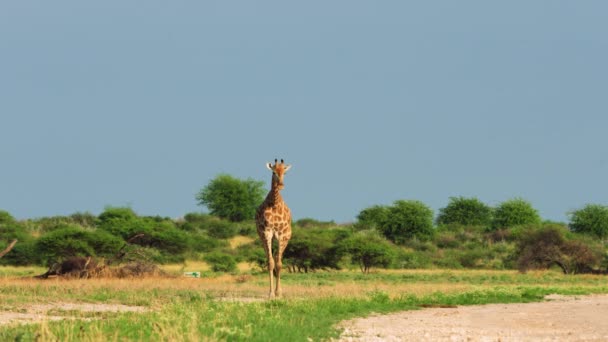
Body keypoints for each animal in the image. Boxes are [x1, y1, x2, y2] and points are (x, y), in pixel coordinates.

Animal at [256, 159, 292, 298]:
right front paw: (271, 293)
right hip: (263, 237)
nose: (281, 185)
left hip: (284, 238)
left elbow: (279, 264)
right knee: (270, 259)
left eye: (285, 173)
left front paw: (278, 292)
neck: (275, 203)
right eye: (273, 172)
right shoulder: (267, 233)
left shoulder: (281, 235)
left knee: (278, 259)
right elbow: (271, 263)